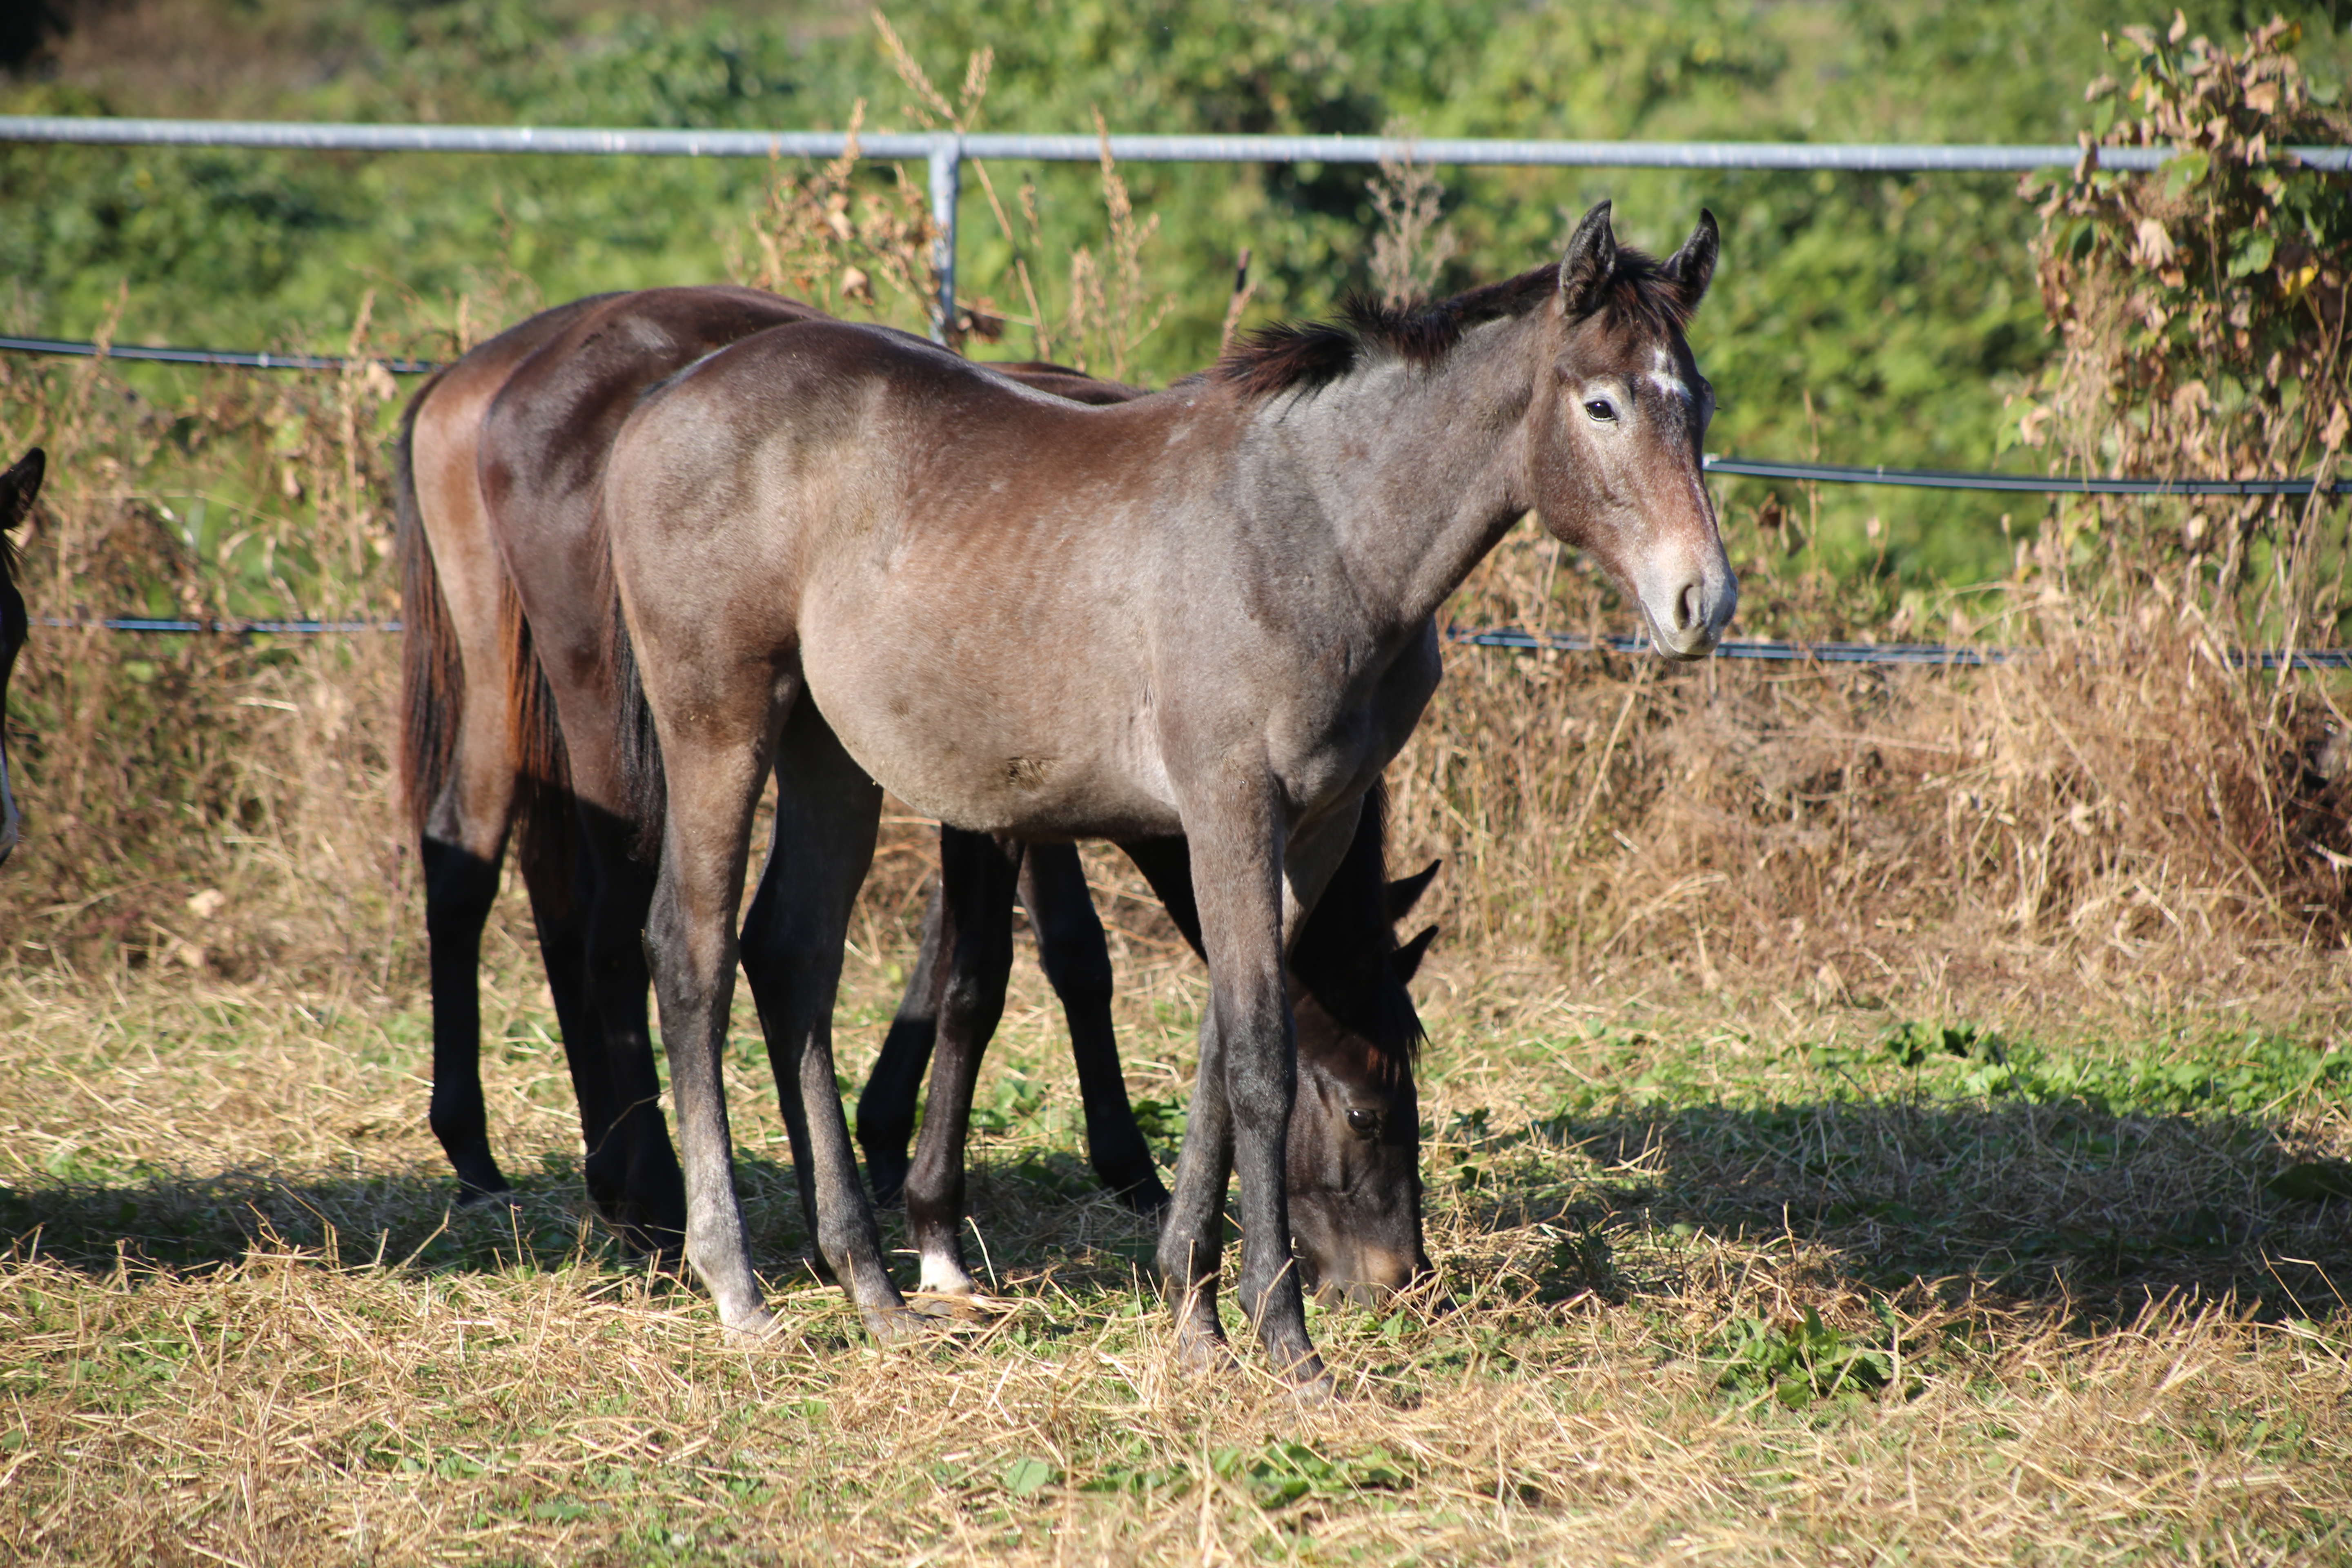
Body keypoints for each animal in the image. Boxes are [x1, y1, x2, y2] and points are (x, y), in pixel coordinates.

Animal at [397, 285, 1439, 1297]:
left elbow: (990, 958)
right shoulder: (1001, 795)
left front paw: (890, 1144)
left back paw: (510, 1157)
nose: (1401, 1277)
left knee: (485, 857)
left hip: (518, 677)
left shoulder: (1004, 786)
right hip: (621, 703)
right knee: (617, 917)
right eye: (1365, 1110)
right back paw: (650, 1197)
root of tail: (486, 379)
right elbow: (1000, 969)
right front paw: (971, 1201)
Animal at [597, 200, 1740, 1382]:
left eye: (1696, 401)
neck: (1315, 532)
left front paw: (1194, 1311)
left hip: (827, 751)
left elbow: (1222, 1048)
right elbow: (1261, 1059)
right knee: (692, 955)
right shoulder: (1229, 803)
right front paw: (1284, 1338)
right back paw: (738, 1286)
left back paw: (873, 1288)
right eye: (1600, 403)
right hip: (721, 723)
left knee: (793, 959)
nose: (1699, 599)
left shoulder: (1309, 825)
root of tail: (659, 406)